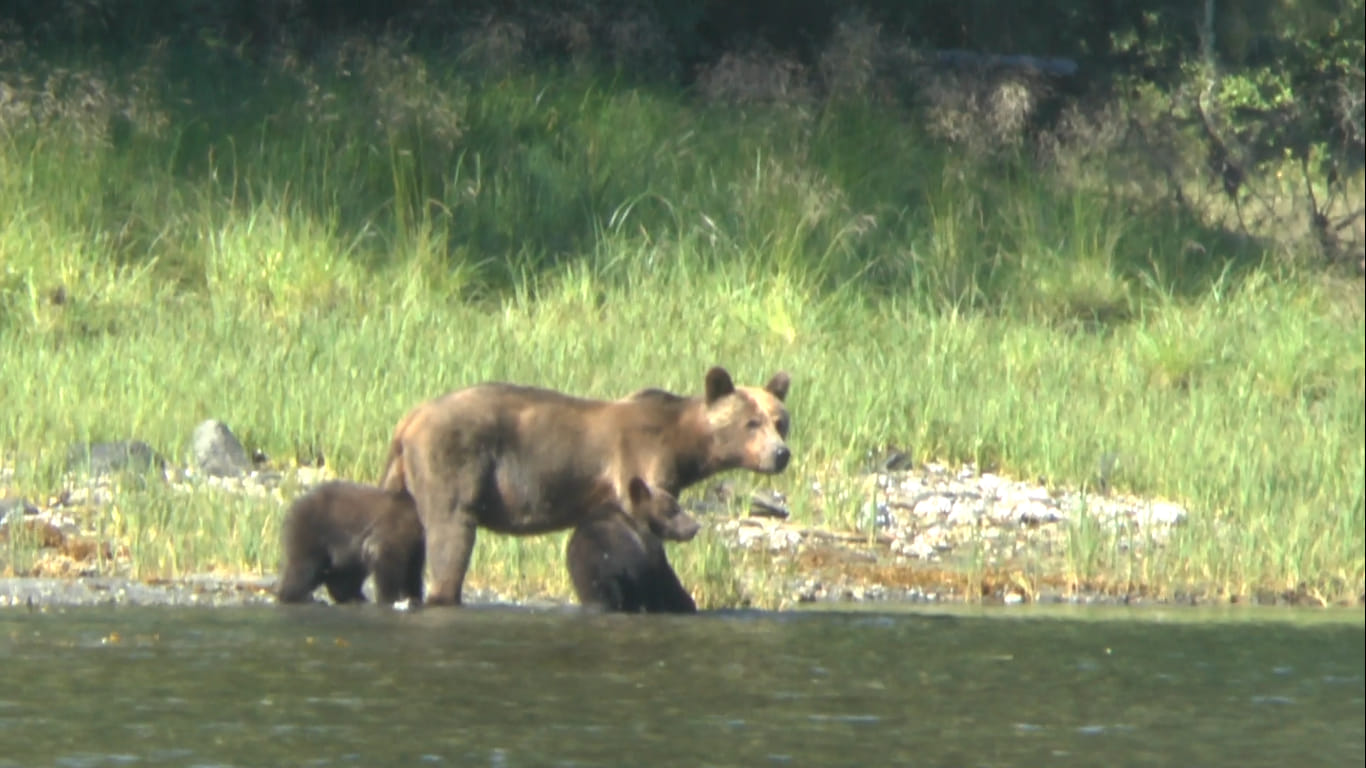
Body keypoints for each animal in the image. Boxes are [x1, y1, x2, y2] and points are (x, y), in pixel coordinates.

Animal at [275, 481, 426, 606]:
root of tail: (292, 506)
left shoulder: (416, 546)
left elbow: (413, 570)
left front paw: (415, 597)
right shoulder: (395, 529)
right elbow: (387, 558)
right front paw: (390, 598)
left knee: (342, 572)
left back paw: (355, 597)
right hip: (311, 531)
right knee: (303, 568)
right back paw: (298, 596)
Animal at [567, 476, 702, 614]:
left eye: (677, 506)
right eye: (671, 510)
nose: (695, 526)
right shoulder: (649, 547)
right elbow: (665, 578)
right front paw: (685, 603)